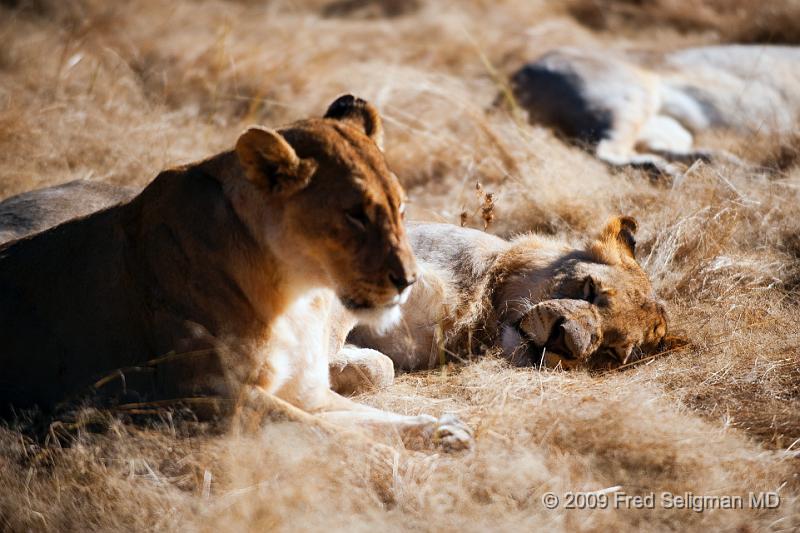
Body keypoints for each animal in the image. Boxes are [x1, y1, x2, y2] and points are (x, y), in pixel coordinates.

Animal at [0, 94, 472, 448]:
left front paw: (440, 430)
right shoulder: (204, 396)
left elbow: (366, 415)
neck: (298, 292)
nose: (408, 280)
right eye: (355, 215)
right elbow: (325, 432)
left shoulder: (303, 389)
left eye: (401, 208)